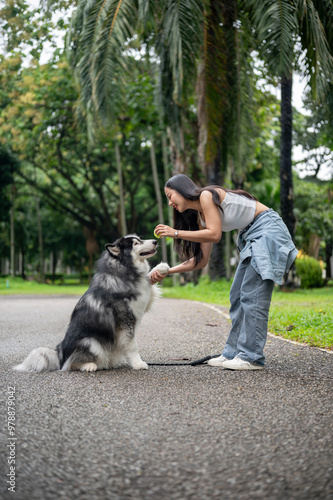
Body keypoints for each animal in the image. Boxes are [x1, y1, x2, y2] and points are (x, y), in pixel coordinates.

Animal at [13, 236, 169, 374]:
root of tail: (60, 352)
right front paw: (138, 363)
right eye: (136, 243)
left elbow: (149, 280)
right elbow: (132, 346)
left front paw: (162, 268)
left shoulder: (143, 298)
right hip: (91, 341)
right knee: (70, 364)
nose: (155, 241)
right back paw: (89, 366)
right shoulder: (126, 321)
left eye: (140, 239)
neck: (123, 271)